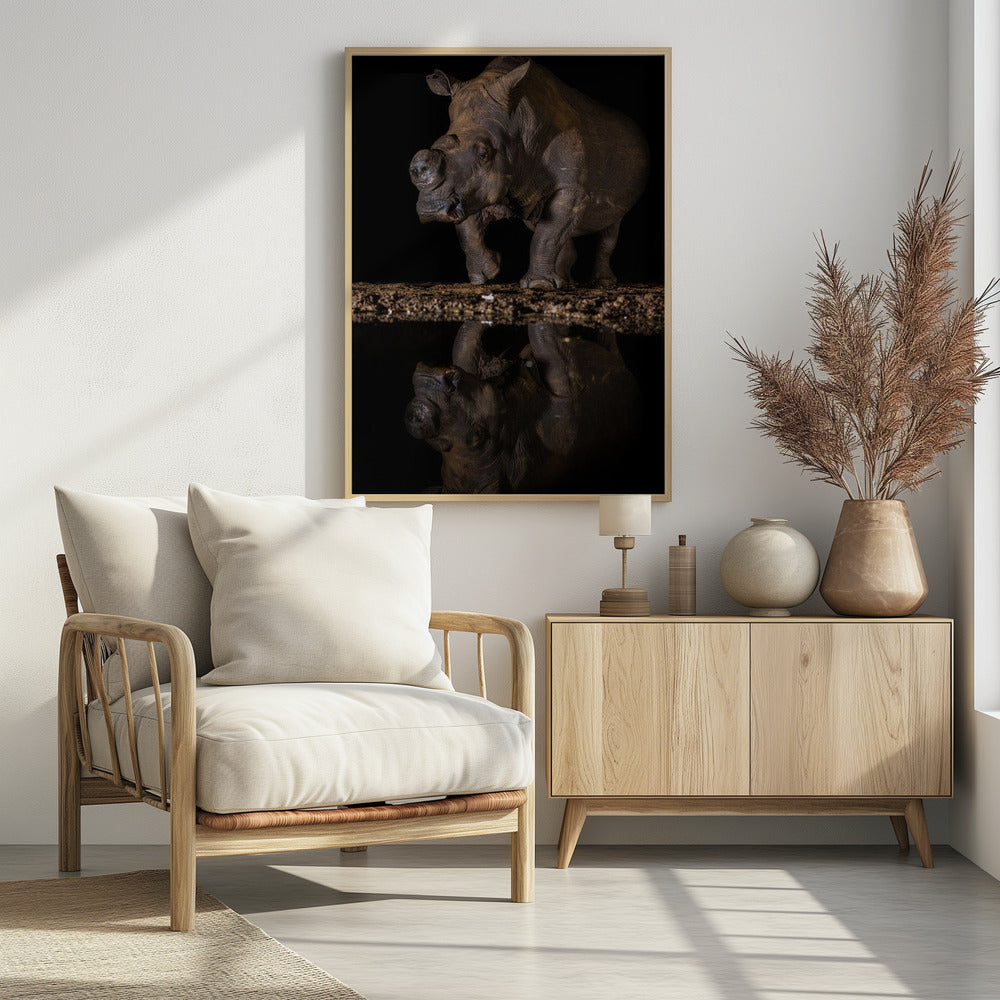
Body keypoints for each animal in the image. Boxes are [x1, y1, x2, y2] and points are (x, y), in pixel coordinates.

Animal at [408, 58, 649, 290]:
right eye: (436, 145)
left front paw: (538, 285)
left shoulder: (572, 188)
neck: (516, 123)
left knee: (611, 226)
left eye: (483, 154)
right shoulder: (473, 186)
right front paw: (485, 275)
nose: (431, 209)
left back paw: (602, 283)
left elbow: (547, 234)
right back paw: (565, 281)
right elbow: (467, 228)